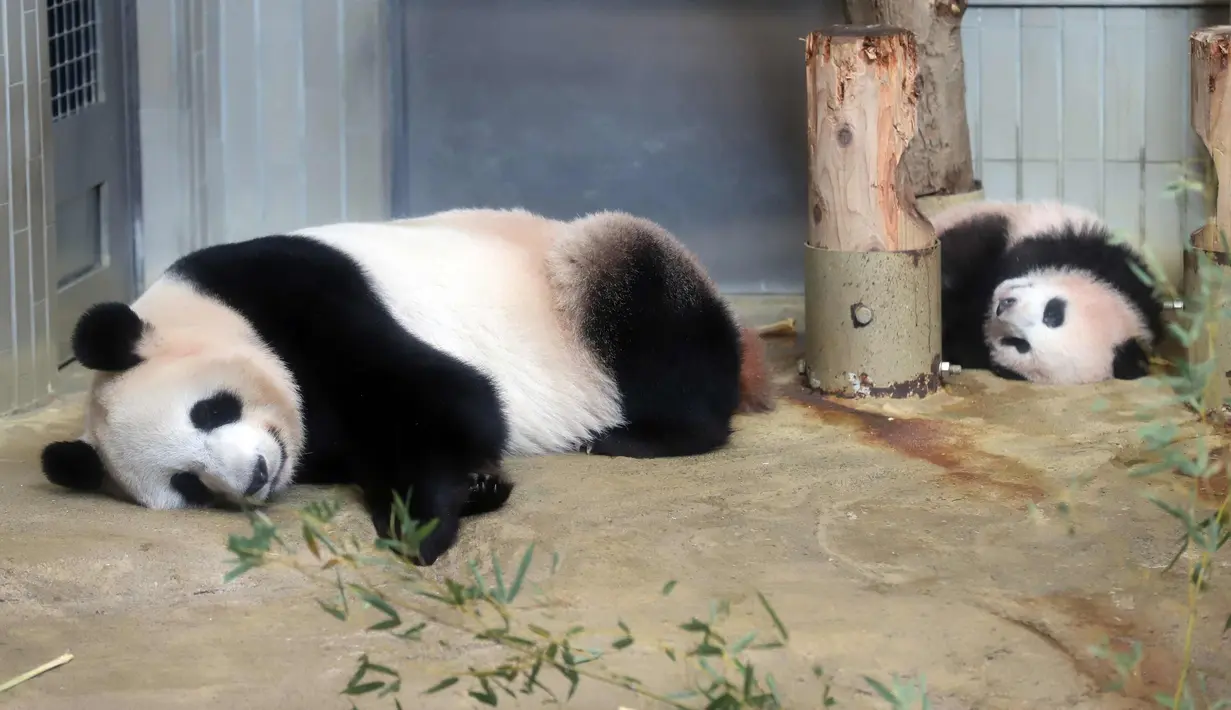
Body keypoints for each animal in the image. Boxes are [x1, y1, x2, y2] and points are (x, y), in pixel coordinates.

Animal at [39, 207, 774, 566]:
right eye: (187, 483)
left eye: (209, 410)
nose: (253, 476)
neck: (202, 307)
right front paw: (476, 489)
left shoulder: (300, 291)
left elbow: (447, 395)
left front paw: (418, 527)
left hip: (584, 275)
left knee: (645, 301)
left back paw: (638, 435)